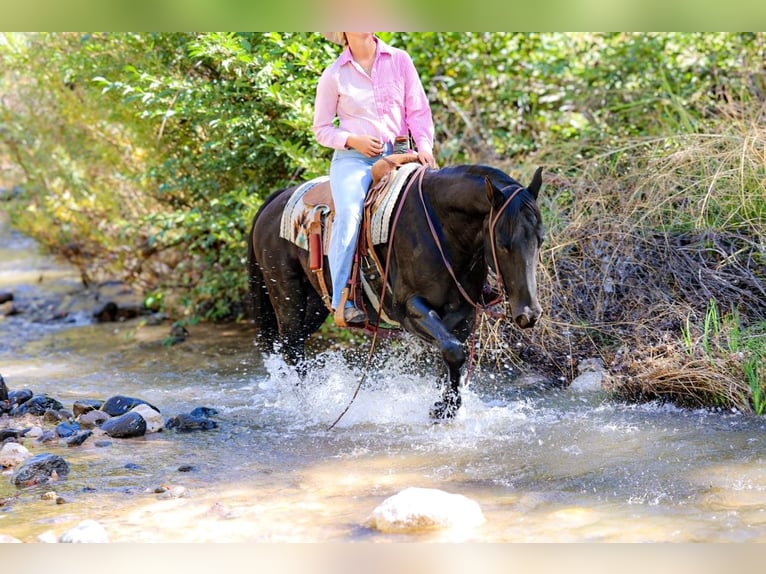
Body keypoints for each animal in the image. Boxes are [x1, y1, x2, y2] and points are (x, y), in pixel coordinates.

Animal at [248, 164, 544, 420]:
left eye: (540, 239)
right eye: (503, 243)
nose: (529, 314)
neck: (442, 230)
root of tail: (275, 201)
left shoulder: (463, 314)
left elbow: (450, 357)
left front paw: (445, 407)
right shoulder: (409, 310)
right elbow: (453, 351)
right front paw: (443, 408)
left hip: (315, 305)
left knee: (293, 344)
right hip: (287, 296)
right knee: (291, 346)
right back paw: (305, 403)